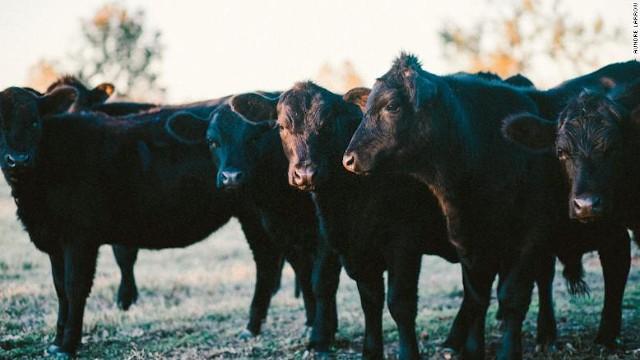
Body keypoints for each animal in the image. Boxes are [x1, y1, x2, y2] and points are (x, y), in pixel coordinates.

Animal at [0, 86, 312, 358]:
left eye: (34, 122)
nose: (18, 159)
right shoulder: (54, 242)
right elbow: (60, 289)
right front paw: (56, 341)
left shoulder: (80, 239)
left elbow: (75, 287)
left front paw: (67, 345)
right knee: (269, 263)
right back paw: (255, 326)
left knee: (288, 262)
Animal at [340, 52, 632, 358]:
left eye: (392, 105)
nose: (348, 158)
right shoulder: (468, 241)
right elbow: (477, 295)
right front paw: (472, 348)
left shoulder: (529, 238)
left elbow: (512, 296)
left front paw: (508, 351)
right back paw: (548, 334)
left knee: (615, 264)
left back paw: (605, 336)